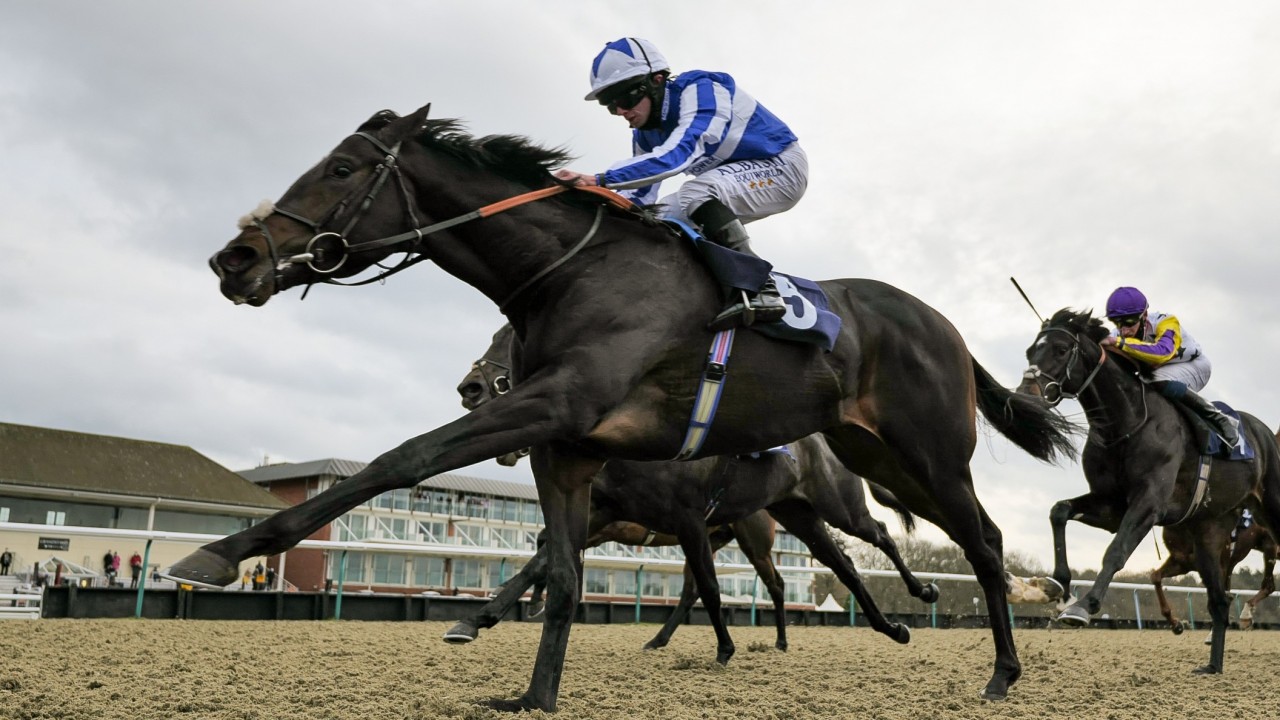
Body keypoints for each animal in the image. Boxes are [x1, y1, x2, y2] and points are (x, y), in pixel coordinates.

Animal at [443, 324, 939, 659]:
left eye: (513, 337)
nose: (470, 388)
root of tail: (820, 440)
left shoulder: (685, 518)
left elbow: (713, 587)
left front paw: (725, 648)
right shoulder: (608, 512)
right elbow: (537, 561)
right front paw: (474, 620)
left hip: (826, 511)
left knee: (874, 537)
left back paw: (921, 591)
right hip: (797, 515)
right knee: (844, 567)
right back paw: (889, 628)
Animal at [1151, 506, 1277, 634]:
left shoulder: (1219, 565)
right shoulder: (1181, 562)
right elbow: (1155, 576)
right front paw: (1176, 625)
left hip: (1269, 544)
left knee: (1268, 586)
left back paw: (1245, 615)